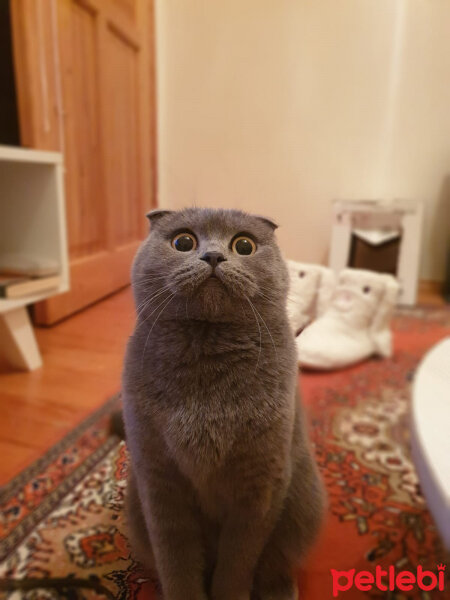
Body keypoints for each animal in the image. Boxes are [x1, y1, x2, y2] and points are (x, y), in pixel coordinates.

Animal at [121, 209, 326, 600]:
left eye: (244, 245)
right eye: (183, 241)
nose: (213, 256)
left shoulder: (261, 481)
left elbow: (239, 560)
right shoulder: (158, 479)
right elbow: (176, 559)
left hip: (303, 504)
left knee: (275, 562)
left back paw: (280, 590)